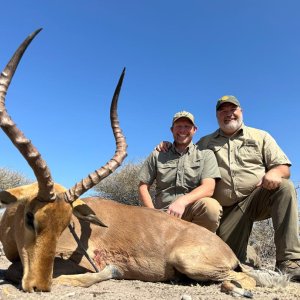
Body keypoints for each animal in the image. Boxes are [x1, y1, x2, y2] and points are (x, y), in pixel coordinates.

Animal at [0, 29, 286, 296]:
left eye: (65, 226)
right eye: (30, 217)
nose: (38, 285)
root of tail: (228, 251)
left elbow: (21, 270)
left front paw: (111, 271)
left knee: (242, 278)